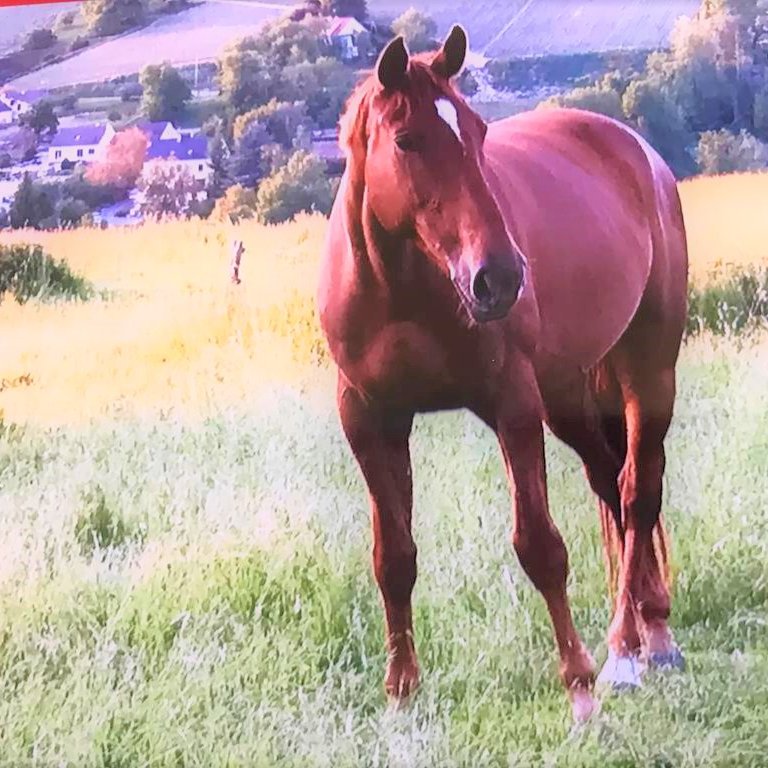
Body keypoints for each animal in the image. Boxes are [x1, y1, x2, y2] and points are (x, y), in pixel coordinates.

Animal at [316, 25, 689, 722]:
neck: (404, 291)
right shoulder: (370, 419)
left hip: (649, 368)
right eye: (407, 141)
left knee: (638, 490)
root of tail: (640, 152)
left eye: (478, 130)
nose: (501, 278)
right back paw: (648, 632)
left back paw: (632, 648)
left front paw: (580, 689)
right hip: (566, 395)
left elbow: (539, 546)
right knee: (612, 486)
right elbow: (393, 557)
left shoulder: (511, 404)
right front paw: (402, 691)